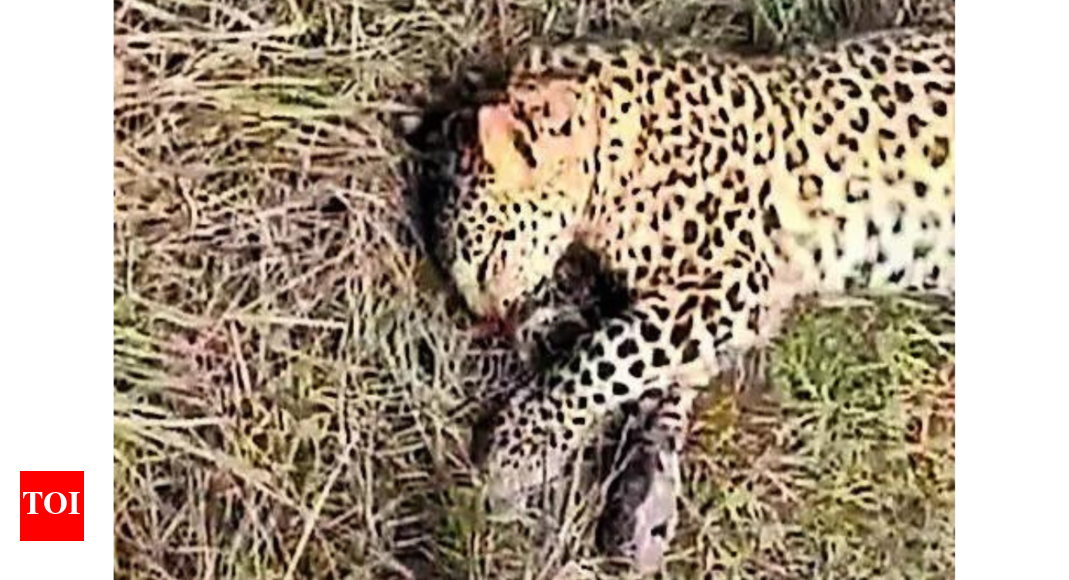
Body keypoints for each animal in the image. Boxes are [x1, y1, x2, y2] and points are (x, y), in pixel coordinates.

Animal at [416, 0, 954, 570]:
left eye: (487, 256)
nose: (492, 319)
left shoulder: (736, 281)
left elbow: (607, 355)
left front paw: (518, 449)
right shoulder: (721, 306)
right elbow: (658, 375)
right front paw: (644, 496)